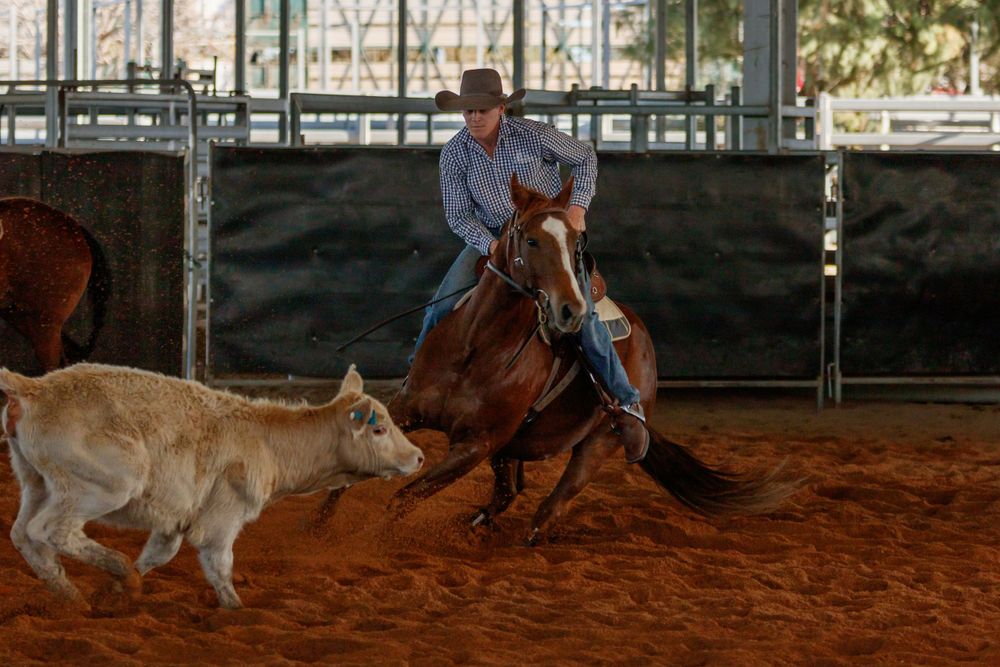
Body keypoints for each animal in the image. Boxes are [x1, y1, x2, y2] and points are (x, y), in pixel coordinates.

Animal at [0, 362, 423, 610]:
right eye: (379, 429)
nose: (418, 457)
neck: (267, 441)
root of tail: (32, 389)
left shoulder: (174, 519)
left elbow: (158, 554)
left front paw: (118, 591)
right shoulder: (223, 517)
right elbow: (220, 565)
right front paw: (235, 610)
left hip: (36, 482)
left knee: (23, 533)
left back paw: (70, 595)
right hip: (105, 484)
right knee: (50, 530)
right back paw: (109, 570)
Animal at [384, 174, 794, 544]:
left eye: (574, 244)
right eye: (531, 240)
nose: (572, 310)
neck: (476, 349)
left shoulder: (477, 444)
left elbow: (401, 500)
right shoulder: (405, 410)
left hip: (598, 441)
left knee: (548, 506)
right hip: (512, 447)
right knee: (507, 492)